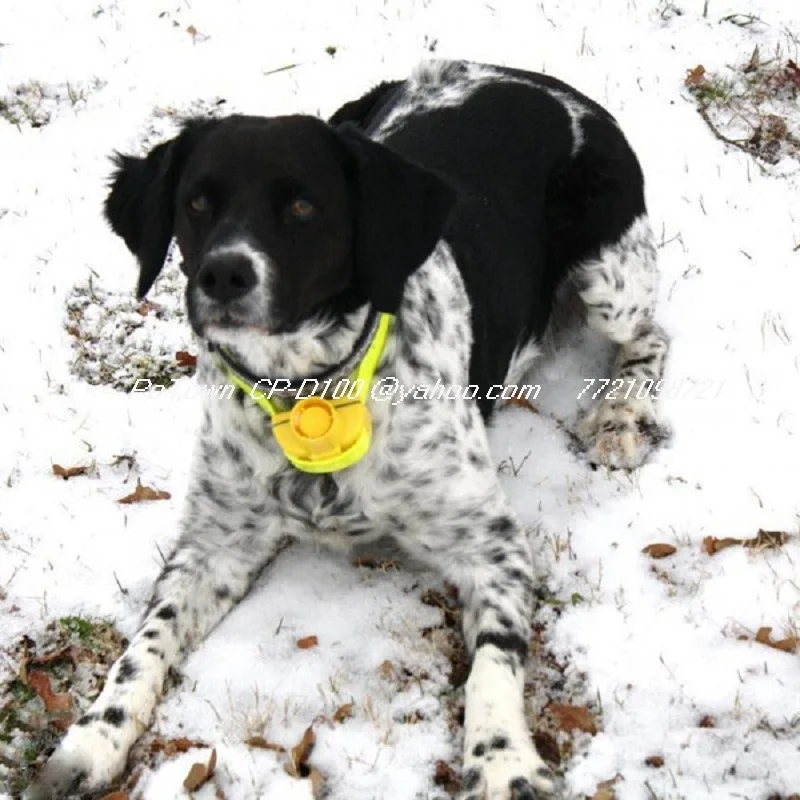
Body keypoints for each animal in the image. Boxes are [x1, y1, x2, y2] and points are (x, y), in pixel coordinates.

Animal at [26, 59, 668, 796]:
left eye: (304, 207)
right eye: (197, 203)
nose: (223, 274)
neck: (306, 392)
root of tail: (532, 77)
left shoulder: (494, 547)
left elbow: (494, 663)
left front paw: (502, 758)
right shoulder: (213, 543)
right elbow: (144, 645)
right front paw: (91, 740)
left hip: (613, 279)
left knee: (652, 336)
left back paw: (622, 414)